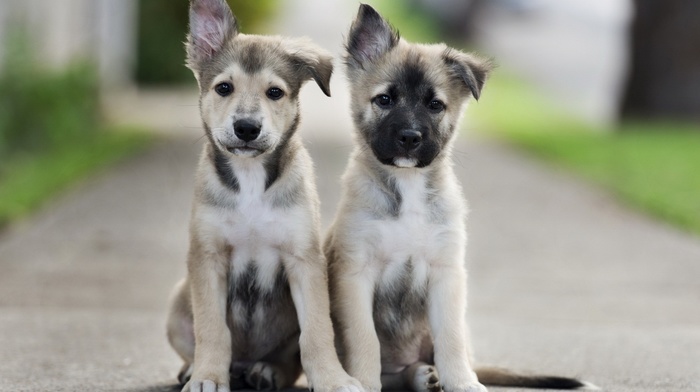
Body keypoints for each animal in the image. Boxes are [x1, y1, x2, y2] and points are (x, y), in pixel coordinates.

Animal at [167, 0, 364, 392]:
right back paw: (194, 369)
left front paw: (333, 379)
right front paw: (207, 376)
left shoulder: (304, 259)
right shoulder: (207, 257)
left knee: (287, 359)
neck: (250, 180)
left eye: (275, 92)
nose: (246, 128)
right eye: (223, 87)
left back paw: (267, 371)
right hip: (178, 300)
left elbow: (316, 332)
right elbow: (212, 328)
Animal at [326, 3, 592, 392]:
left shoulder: (446, 274)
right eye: (384, 99)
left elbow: (450, 339)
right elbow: (364, 340)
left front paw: (463, 383)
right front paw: (362, 382)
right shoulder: (355, 273)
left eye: (435, 105)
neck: (408, 188)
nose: (410, 138)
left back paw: (427, 375)